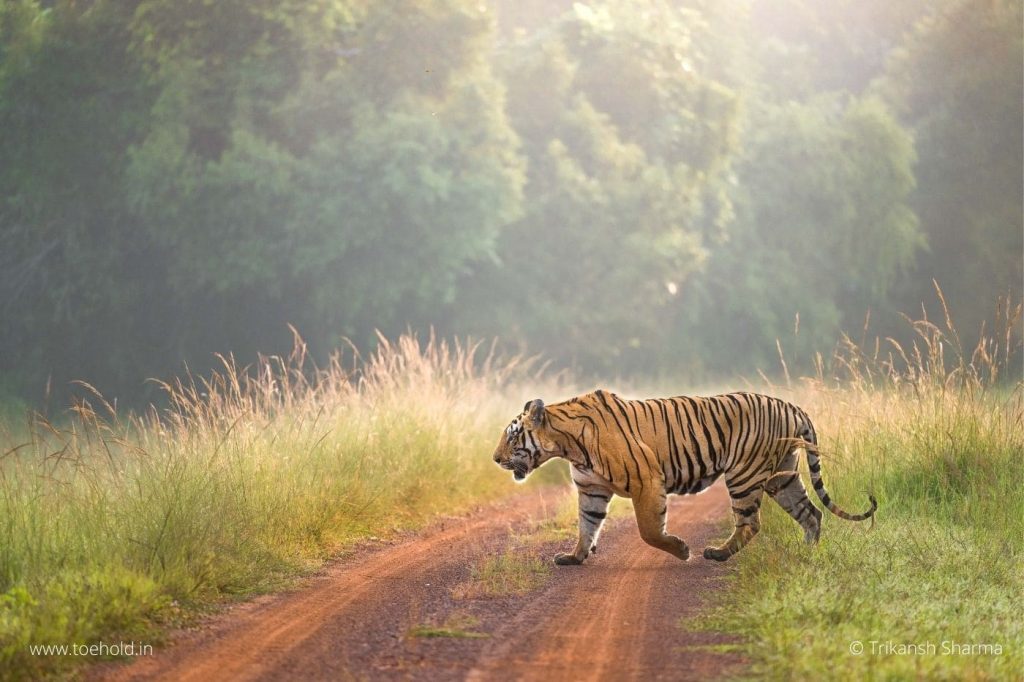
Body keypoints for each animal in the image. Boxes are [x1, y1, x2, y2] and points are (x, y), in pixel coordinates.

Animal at [487, 391, 872, 561]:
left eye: (512, 436)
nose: (495, 459)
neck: (567, 444)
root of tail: (792, 405)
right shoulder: (591, 490)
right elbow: (587, 525)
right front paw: (575, 557)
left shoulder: (646, 481)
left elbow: (649, 531)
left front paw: (681, 550)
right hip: (783, 475)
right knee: (812, 513)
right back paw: (808, 554)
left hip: (744, 474)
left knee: (751, 522)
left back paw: (717, 554)